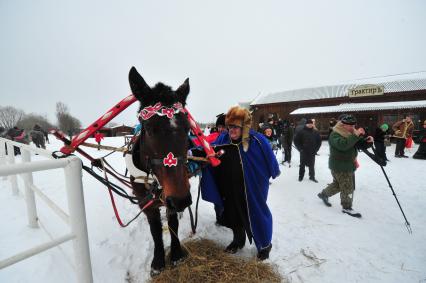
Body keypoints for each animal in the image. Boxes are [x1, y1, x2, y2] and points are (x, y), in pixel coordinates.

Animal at [127, 67, 192, 278]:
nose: (181, 200)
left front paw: (177, 255)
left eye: (188, 128)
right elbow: (155, 229)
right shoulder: (146, 202)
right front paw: (158, 261)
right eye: (148, 128)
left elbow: (173, 224)